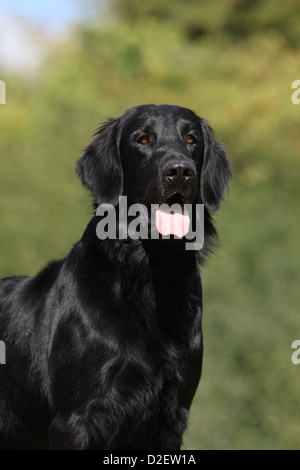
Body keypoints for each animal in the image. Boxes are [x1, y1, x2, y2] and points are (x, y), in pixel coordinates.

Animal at [0, 104, 232, 450]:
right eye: (142, 139)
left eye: (191, 139)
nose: (180, 171)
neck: (151, 277)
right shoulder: (75, 420)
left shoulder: (171, 417)